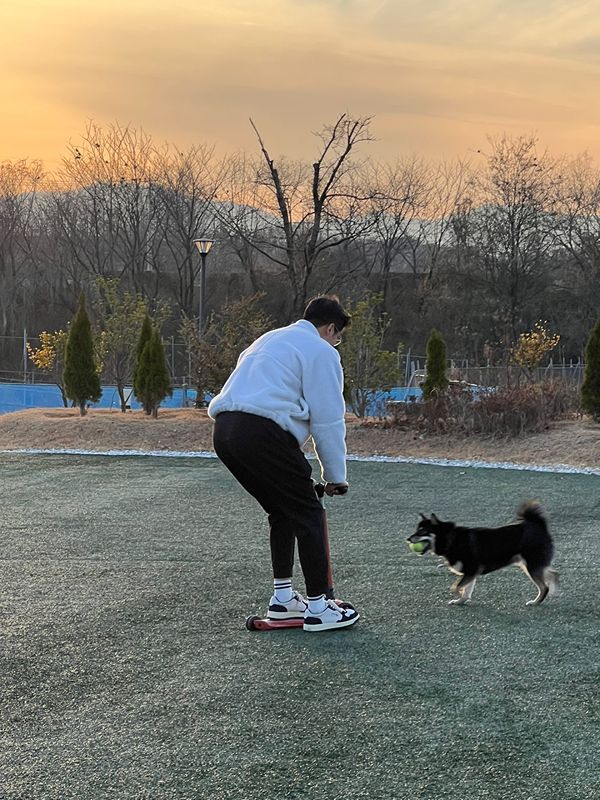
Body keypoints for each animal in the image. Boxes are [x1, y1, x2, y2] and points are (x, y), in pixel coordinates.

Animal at [406, 500, 560, 608]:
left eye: (422, 531)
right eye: (416, 529)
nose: (408, 539)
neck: (450, 538)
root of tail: (539, 525)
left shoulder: (471, 570)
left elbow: (456, 587)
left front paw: (457, 595)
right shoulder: (470, 573)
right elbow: (466, 590)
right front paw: (460, 601)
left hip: (531, 566)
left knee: (544, 587)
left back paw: (535, 602)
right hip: (530, 565)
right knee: (554, 574)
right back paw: (555, 593)